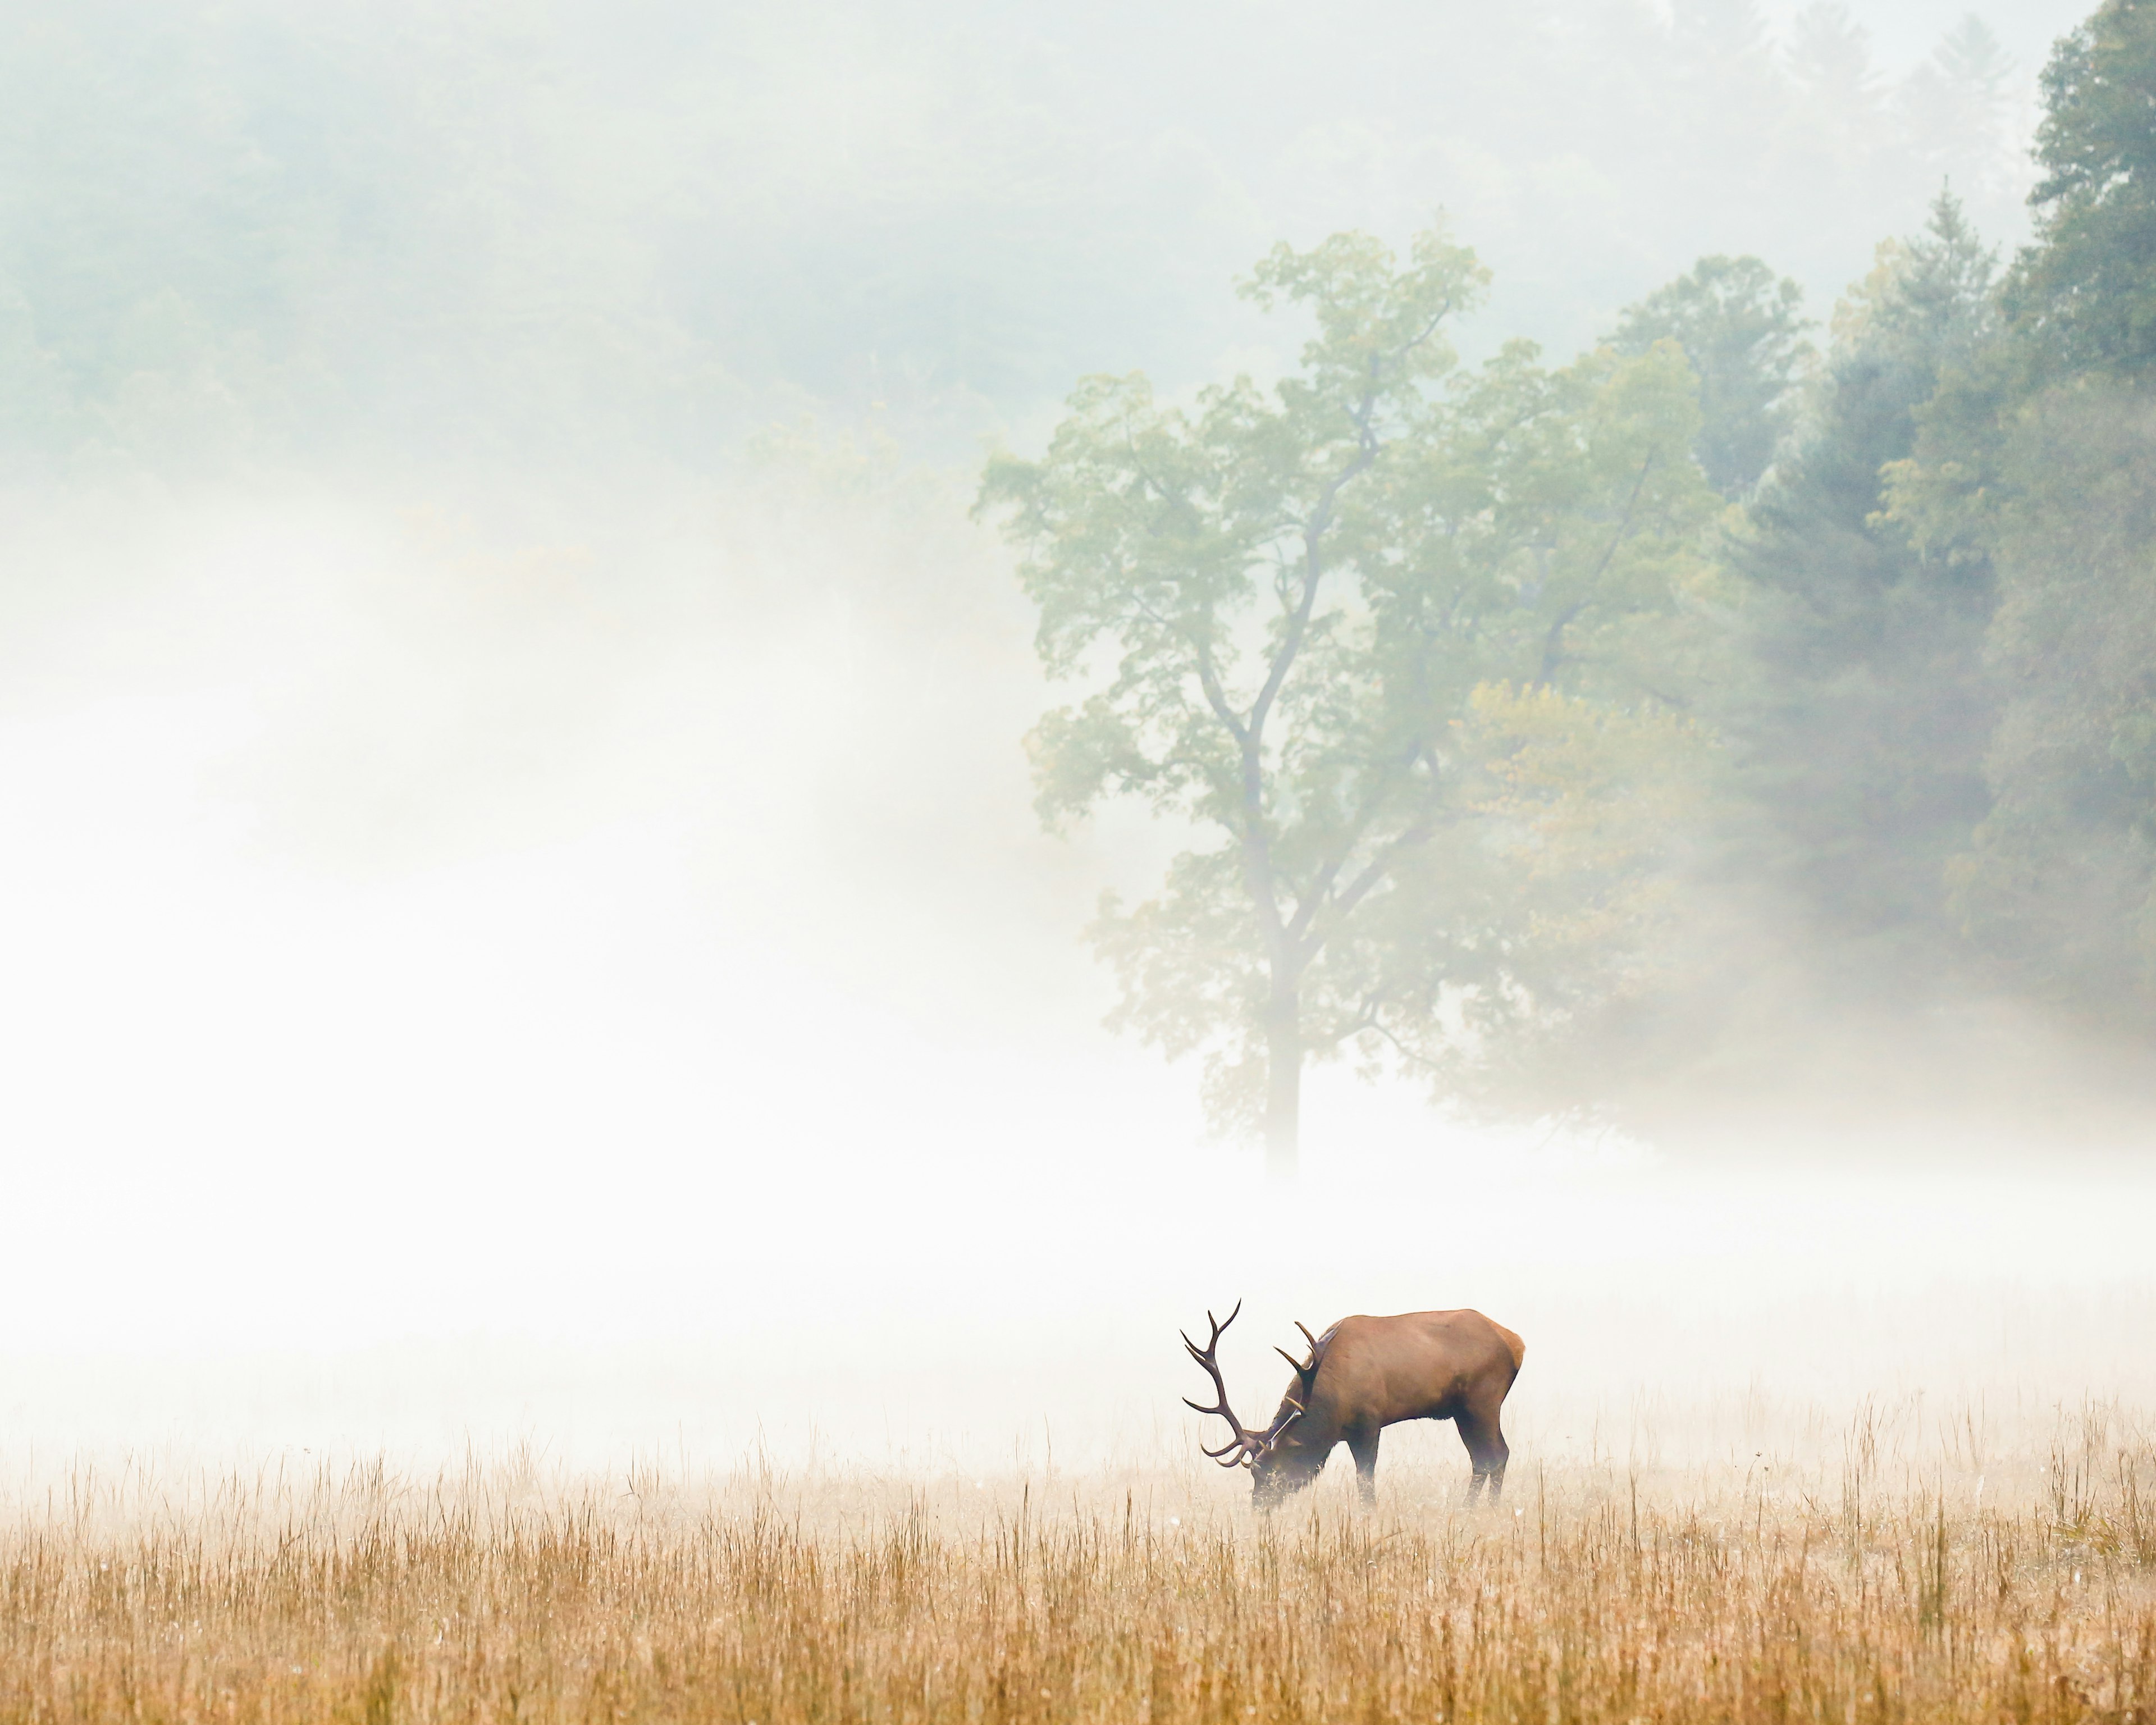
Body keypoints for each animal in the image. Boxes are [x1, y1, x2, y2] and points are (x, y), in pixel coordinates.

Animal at [1190, 1311, 1526, 1509]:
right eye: (1253, 1473)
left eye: (1272, 1474)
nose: (1258, 1510)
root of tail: (1517, 1344)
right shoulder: (1350, 1432)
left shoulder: (1369, 1421)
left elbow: (1365, 1480)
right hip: (1462, 1410)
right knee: (1482, 1458)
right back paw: (1468, 1510)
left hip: (1483, 1400)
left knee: (1498, 1454)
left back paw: (1488, 1511)